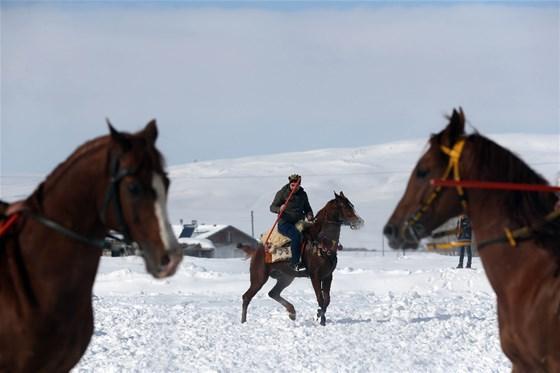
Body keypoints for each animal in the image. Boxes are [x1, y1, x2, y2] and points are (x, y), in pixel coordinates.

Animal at [240, 192, 364, 326]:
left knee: (273, 293)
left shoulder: (328, 276)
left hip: (286, 277)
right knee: (247, 296)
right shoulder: (315, 276)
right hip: (259, 277)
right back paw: (243, 322)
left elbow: (327, 300)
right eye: (344, 206)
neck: (321, 242)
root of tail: (258, 250)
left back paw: (292, 312)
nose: (360, 222)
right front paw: (321, 320)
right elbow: (320, 299)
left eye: (351, 205)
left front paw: (320, 317)